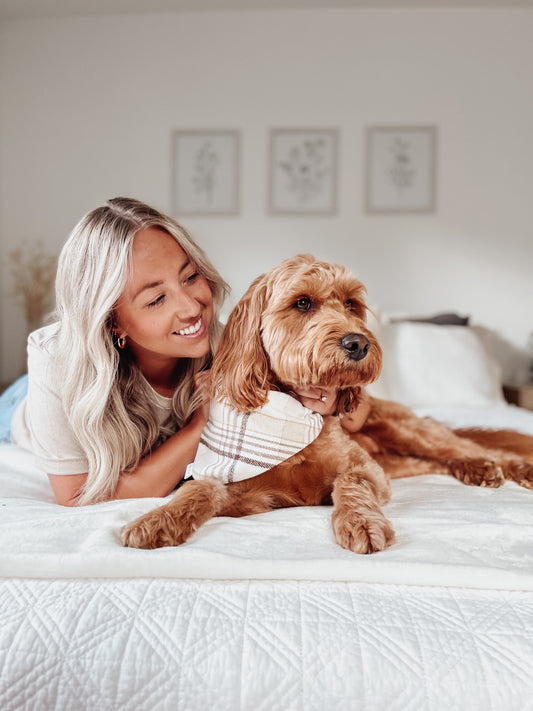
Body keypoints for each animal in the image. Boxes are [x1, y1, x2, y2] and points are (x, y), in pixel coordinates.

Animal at [121, 254, 532, 556]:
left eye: (351, 304)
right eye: (302, 303)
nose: (358, 343)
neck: (295, 410)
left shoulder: (366, 469)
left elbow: (350, 482)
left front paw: (361, 522)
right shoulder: (248, 496)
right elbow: (199, 490)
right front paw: (157, 520)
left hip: (405, 431)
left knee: (467, 447)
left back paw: (504, 466)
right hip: (400, 460)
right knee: (435, 462)